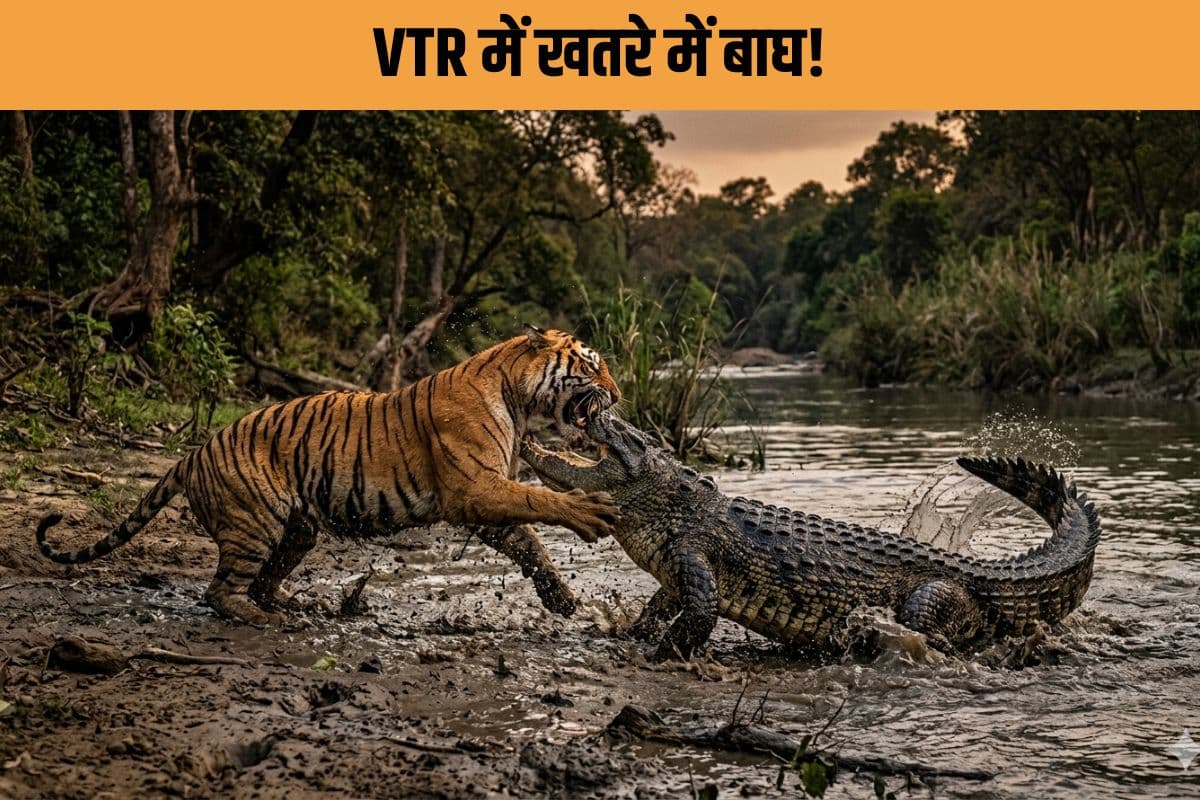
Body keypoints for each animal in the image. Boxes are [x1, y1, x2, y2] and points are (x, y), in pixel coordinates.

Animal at [35, 326, 621, 625]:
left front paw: (565, 602)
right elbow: (539, 504)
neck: (518, 397)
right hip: (254, 525)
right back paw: (265, 618)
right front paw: (591, 512)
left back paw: (299, 603)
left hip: (297, 530)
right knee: (219, 592)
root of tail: (190, 455)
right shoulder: (475, 489)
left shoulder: (484, 503)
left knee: (263, 581)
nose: (617, 395)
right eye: (592, 365)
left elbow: (530, 544)